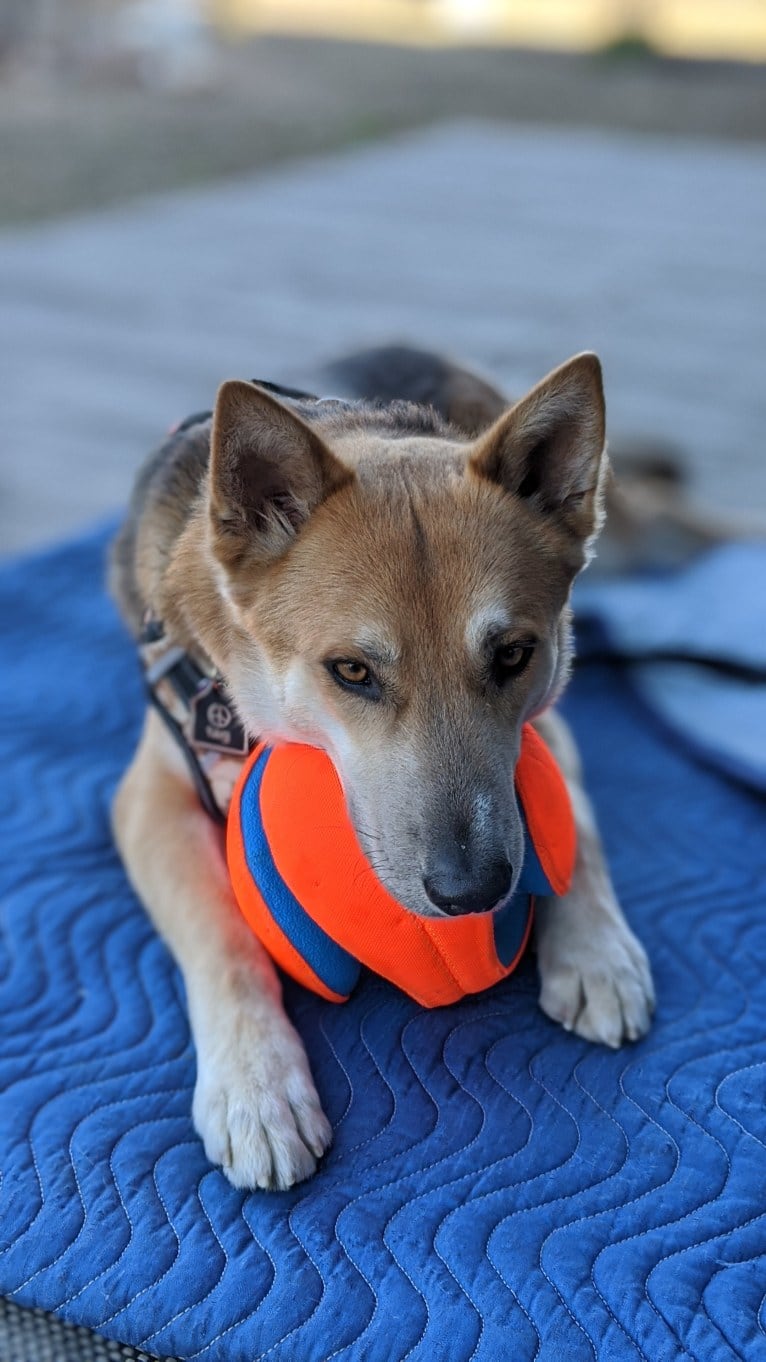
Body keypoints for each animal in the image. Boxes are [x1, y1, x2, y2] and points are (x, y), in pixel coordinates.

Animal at [110, 348, 654, 1193]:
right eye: (353, 672)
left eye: (512, 655)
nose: (472, 893)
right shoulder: (147, 801)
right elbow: (220, 935)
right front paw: (255, 1084)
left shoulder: (551, 722)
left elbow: (578, 835)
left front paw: (597, 951)